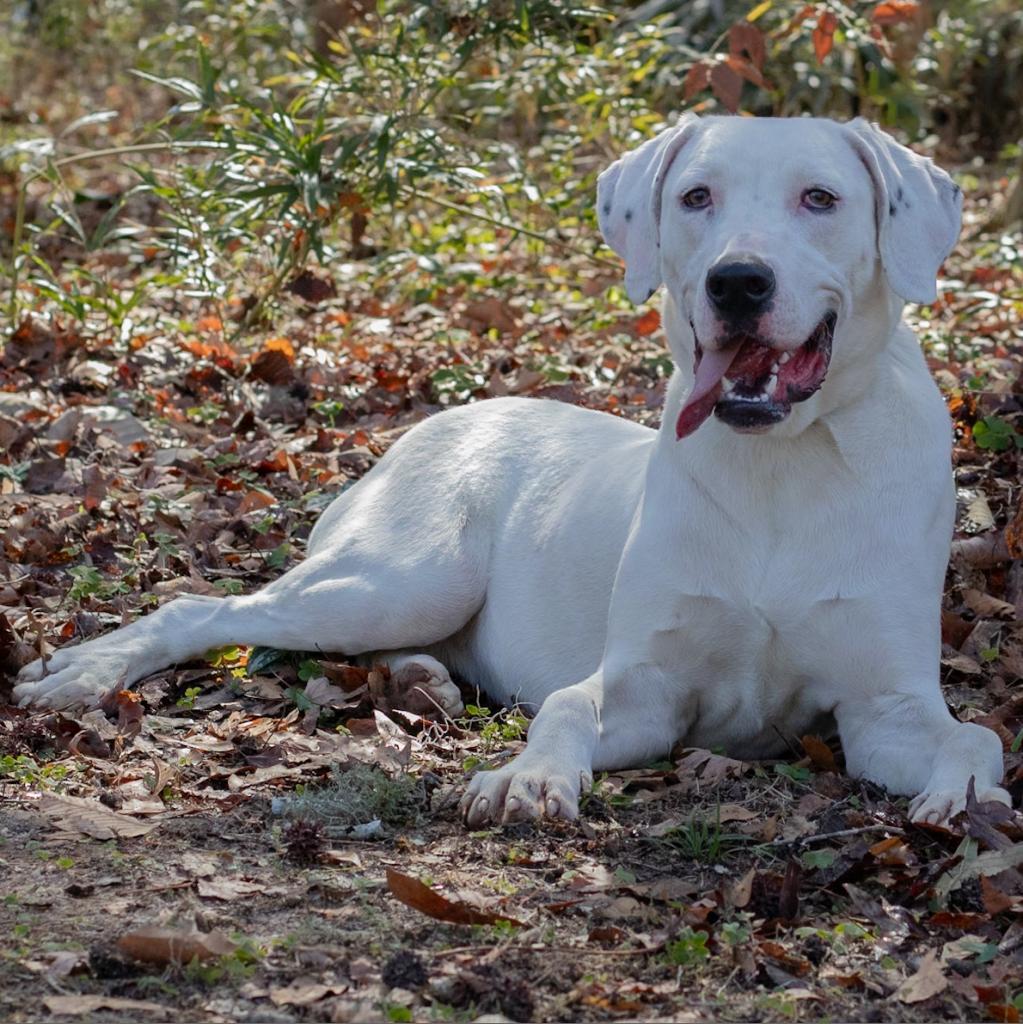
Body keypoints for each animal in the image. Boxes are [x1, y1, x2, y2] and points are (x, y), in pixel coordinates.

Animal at [14, 116, 1007, 827]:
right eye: (696, 196)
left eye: (819, 197)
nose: (736, 282)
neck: (784, 460)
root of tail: (436, 422)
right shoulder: (642, 688)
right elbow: (564, 706)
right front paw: (527, 779)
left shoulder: (883, 709)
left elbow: (979, 739)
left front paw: (965, 800)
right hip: (404, 576)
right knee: (203, 608)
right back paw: (87, 672)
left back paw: (419, 679)